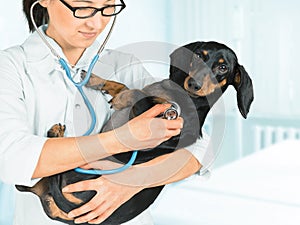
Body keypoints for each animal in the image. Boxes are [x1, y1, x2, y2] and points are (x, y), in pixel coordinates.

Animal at [15, 41, 253, 224]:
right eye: (198, 56)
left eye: (222, 68)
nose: (194, 84)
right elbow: (122, 85)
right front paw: (95, 79)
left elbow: (138, 93)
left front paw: (123, 97)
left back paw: (56, 134)